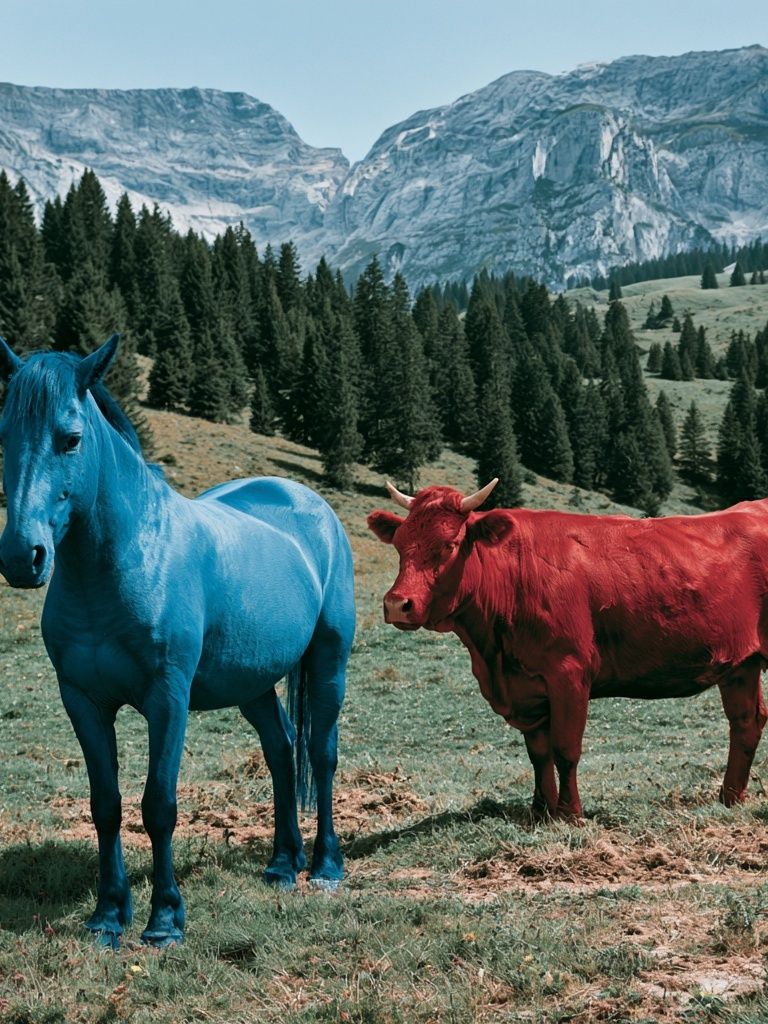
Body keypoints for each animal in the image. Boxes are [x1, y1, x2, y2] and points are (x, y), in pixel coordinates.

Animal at [0, 333, 355, 948]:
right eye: (3, 436)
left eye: (70, 439)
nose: (24, 557)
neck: (131, 556)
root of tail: (310, 505)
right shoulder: (82, 701)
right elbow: (106, 805)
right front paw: (107, 916)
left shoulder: (168, 699)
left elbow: (158, 805)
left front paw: (164, 920)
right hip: (253, 684)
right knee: (281, 751)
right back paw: (282, 864)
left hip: (329, 661)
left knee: (320, 752)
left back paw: (325, 867)